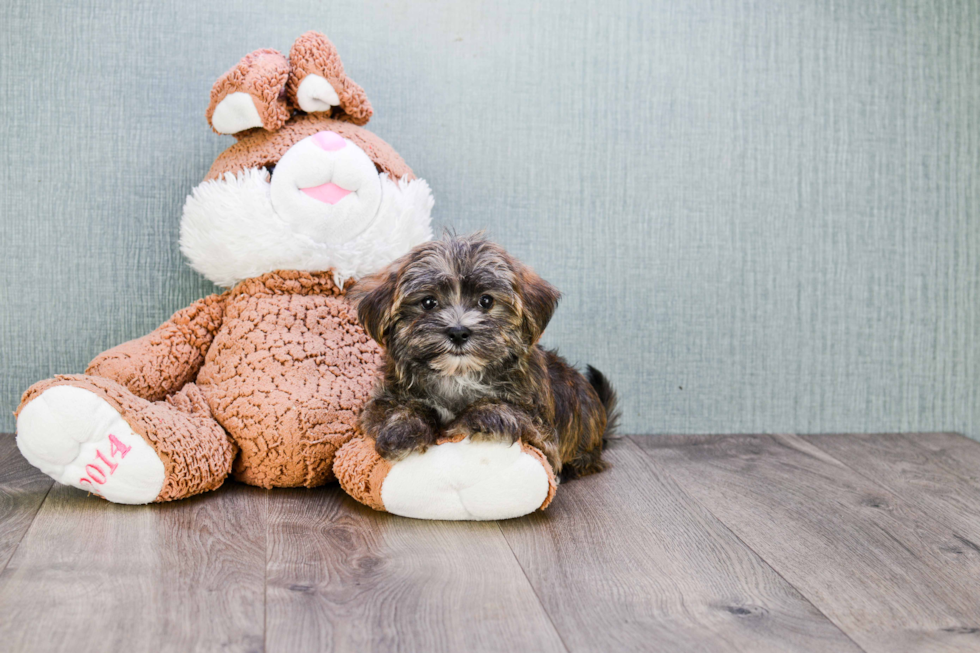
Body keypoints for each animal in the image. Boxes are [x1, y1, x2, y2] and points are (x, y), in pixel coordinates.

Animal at [348, 232, 616, 476]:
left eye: (486, 301)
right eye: (428, 302)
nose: (458, 332)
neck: (459, 376)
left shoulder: (542, 432)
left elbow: (503, 409)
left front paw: (480, 416)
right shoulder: (383, 399)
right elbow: (396, 408)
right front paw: (402, 428)